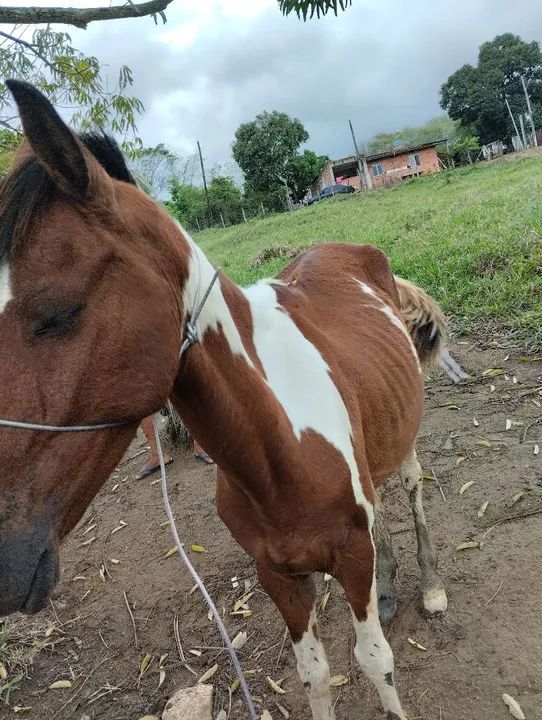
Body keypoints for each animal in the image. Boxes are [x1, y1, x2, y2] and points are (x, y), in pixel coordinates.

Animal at [0, 80, 454, 720]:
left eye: (58, 312)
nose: (4, 563)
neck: (277, 445)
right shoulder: (278, 574)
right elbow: (314, 674)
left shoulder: (349, 554)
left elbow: (375, 662)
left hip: (405, 437)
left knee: (410, 488)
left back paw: (431, 586)